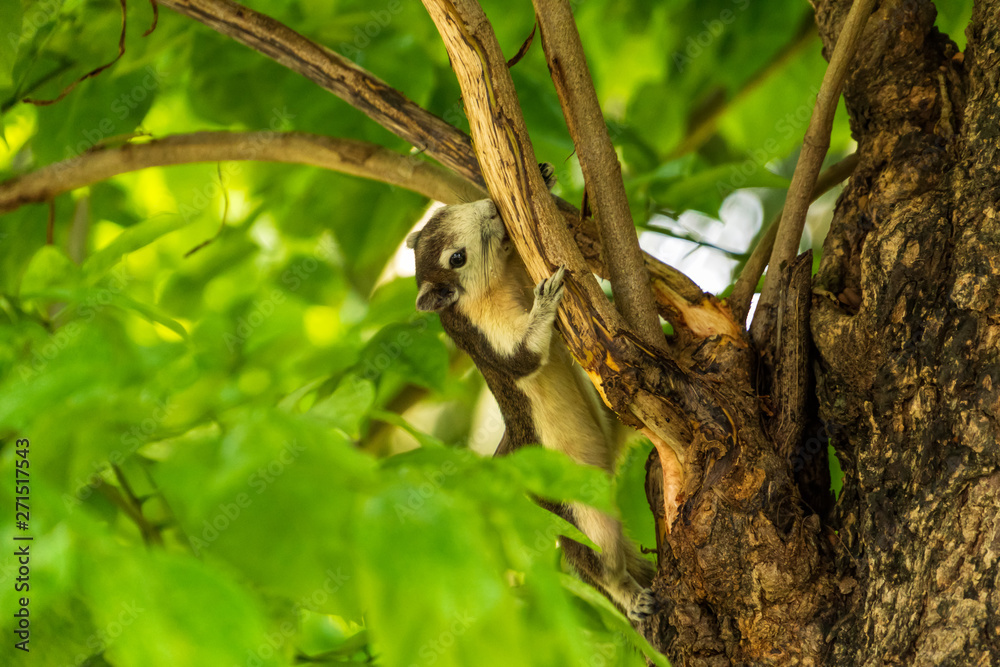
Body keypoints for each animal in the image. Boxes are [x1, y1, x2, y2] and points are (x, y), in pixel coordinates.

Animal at [406, 164, 656, 624]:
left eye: (443, 212)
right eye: (456, 258)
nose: (491, 206)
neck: (498, 282)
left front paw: (544, 175)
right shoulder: (485, 332)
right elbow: (522, 356)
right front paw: (544, 302)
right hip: (574, 511)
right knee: (597, 561)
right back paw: (630, 596)